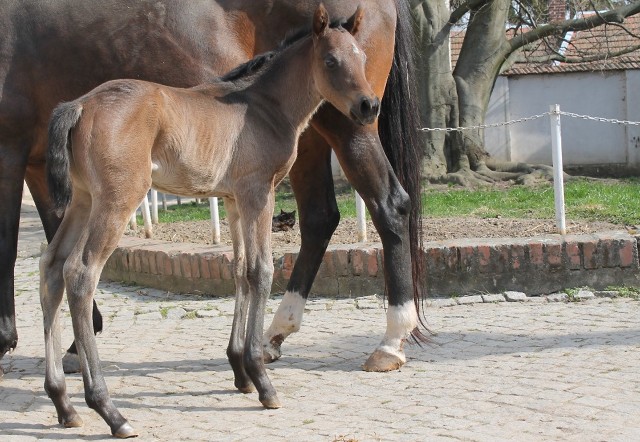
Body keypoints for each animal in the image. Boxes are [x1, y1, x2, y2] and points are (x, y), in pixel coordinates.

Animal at [40, 5, 378, 436]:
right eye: (331, 61)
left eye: (363, 57)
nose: (369, 106)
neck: (264, 106)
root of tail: (80, 105)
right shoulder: (258, 193)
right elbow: (262, 271)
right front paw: (262, 379)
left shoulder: (233, 201)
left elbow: (240, 270)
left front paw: (240, 371)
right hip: (117, 200)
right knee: (81, 274)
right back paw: (109, 410)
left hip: (83, 201)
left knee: (51, 267)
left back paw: (63, 404)